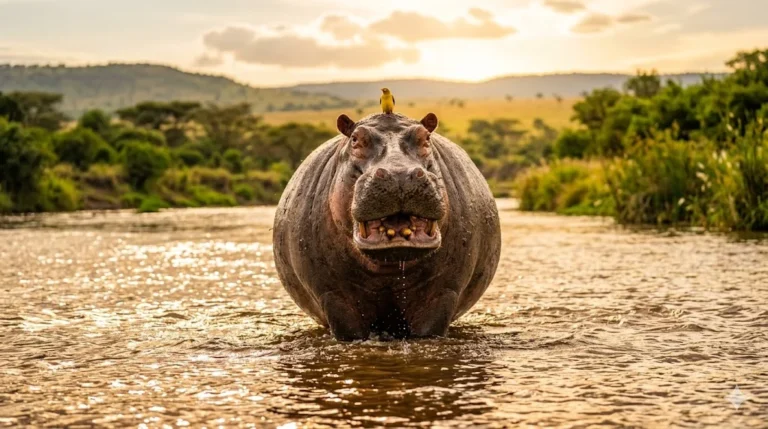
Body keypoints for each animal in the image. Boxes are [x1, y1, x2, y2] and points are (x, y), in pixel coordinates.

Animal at [273, 112, 501, 341]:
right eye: (355, 139)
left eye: (426, 138)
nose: (399, 174)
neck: (389, 268)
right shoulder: (333, 295)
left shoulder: (443, 292)